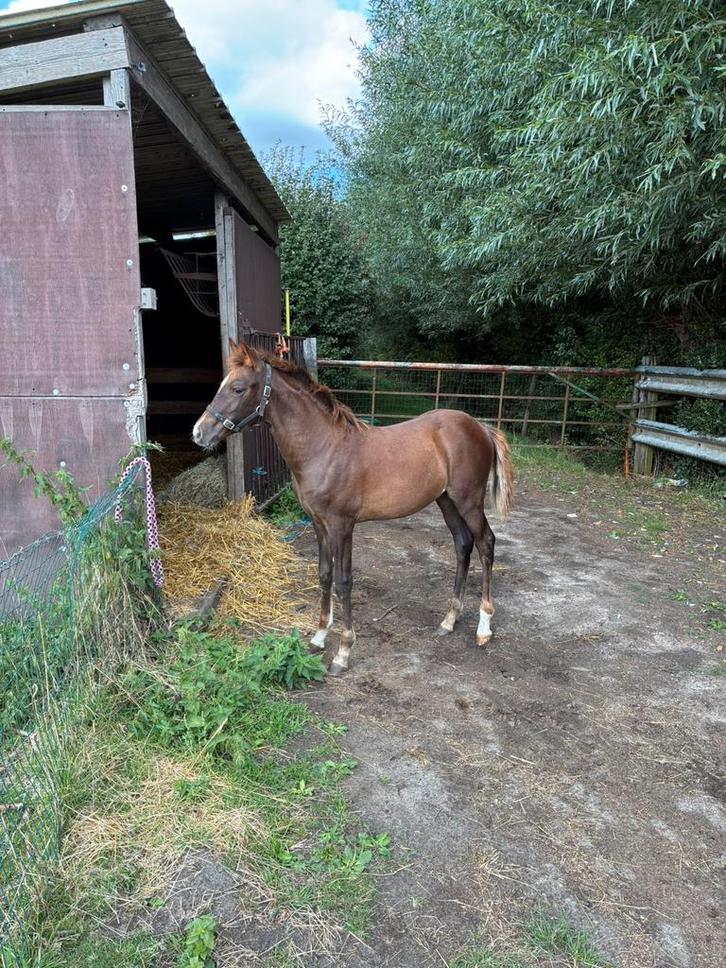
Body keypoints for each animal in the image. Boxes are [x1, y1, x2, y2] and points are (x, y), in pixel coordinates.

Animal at [193, 341, 514, 675]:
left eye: (238, 388)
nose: (199, 433)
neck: (324, 447)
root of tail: (480, 427)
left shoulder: (342, 525)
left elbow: (344, 581)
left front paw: (343, 652)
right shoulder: (318, 523)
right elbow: (324, 575)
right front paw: (319, 637)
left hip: (469, 501)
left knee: (486, 543)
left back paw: (483, 628)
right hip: (446, 500)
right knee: (462, 544)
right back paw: (449, 620)